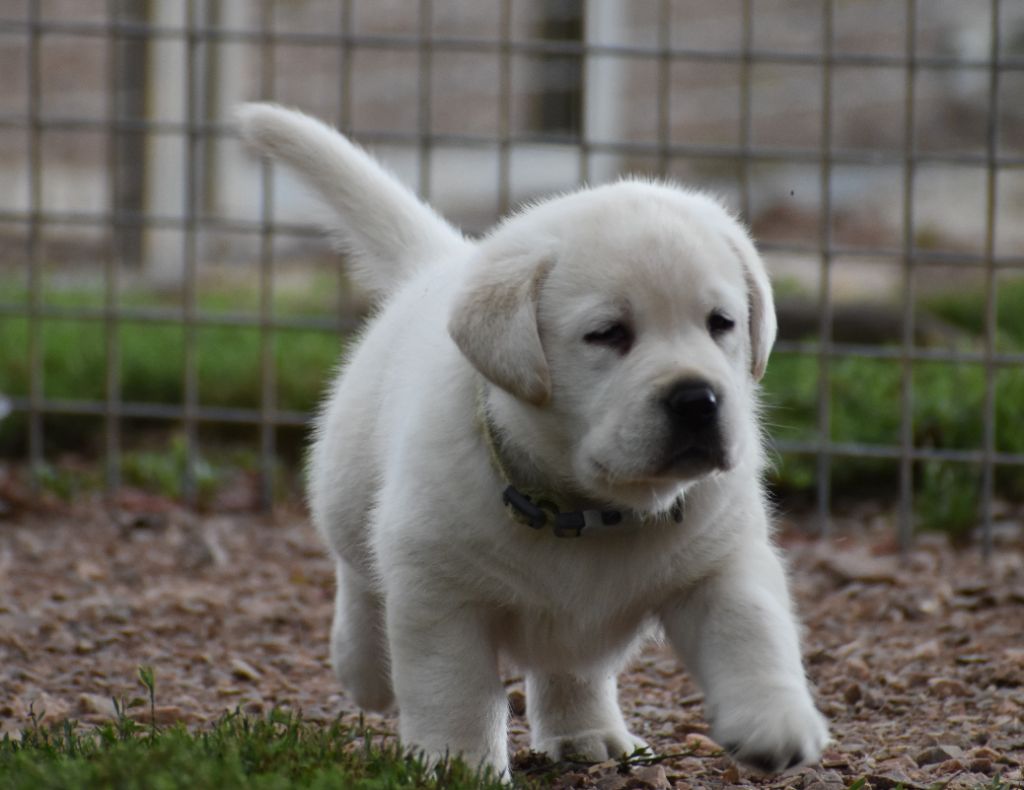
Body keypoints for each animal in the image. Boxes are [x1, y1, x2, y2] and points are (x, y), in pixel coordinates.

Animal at [235, 103, 827, 778]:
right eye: (608, 333)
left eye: (721, 323)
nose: (697, 400)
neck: (589, 511)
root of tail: (444, 264)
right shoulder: (441, 592)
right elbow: (455, 690)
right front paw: (459, 767)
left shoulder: (722, 561)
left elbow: (753, 629)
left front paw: (774, 720)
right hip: (347, 487)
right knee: (358, 575)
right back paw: (365, 667)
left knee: (572, 670)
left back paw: (590, 733)